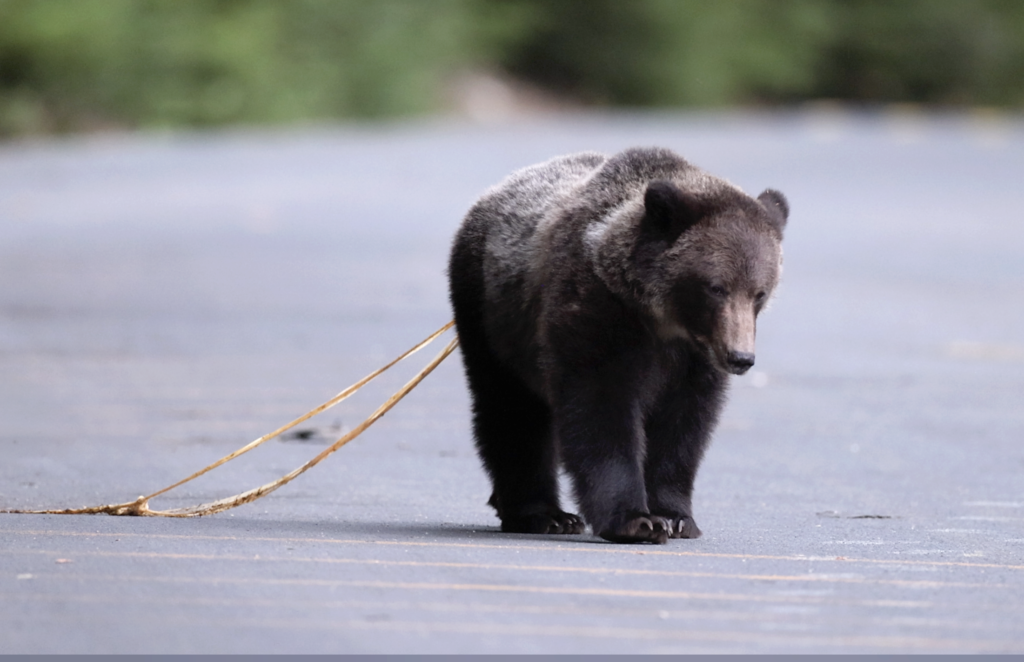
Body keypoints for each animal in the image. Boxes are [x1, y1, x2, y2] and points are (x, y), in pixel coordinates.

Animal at [447, 147, 788, 544]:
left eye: (759, 292)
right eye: (716, 287)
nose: (741, 357)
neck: (661, 319)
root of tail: (490, 195)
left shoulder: (693, 360)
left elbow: (683, 427)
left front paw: (676, 516)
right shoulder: (594, 315)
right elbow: (602, 412)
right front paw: (636, 520)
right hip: (490, 316)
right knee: (510, 409)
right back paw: (543, 513)